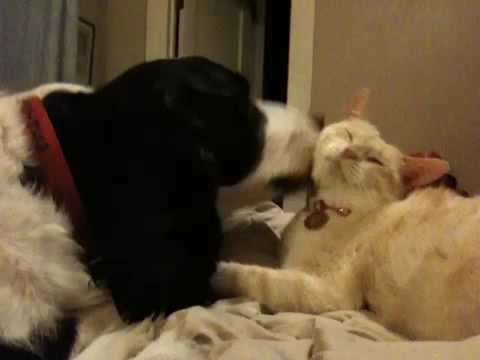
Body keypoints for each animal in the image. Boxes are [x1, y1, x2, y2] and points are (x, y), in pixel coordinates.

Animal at [214, 88, 480, 338]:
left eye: (374, 160)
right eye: (348, 135)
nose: (349, 151)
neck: (328, 212)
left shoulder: (326, 290)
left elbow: (257, 276)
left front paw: (219, 271)